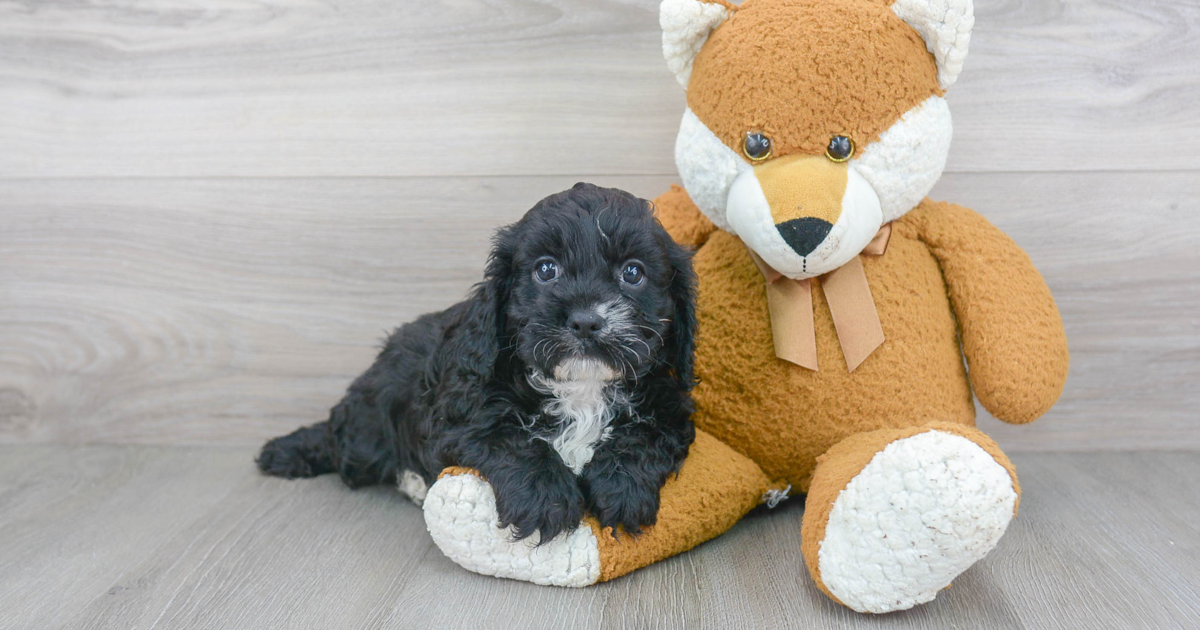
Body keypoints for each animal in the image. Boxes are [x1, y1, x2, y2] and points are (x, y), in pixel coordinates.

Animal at [258, 181, 700, 540]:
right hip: (370, 425)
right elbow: (509, 439)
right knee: (343, 444)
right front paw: (546, 498)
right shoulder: (461, 411)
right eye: (546, 269)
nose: (586, 320)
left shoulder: (671, 406)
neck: (581, 388)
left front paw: (621, 489)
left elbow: (645, 436)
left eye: (633, 273)